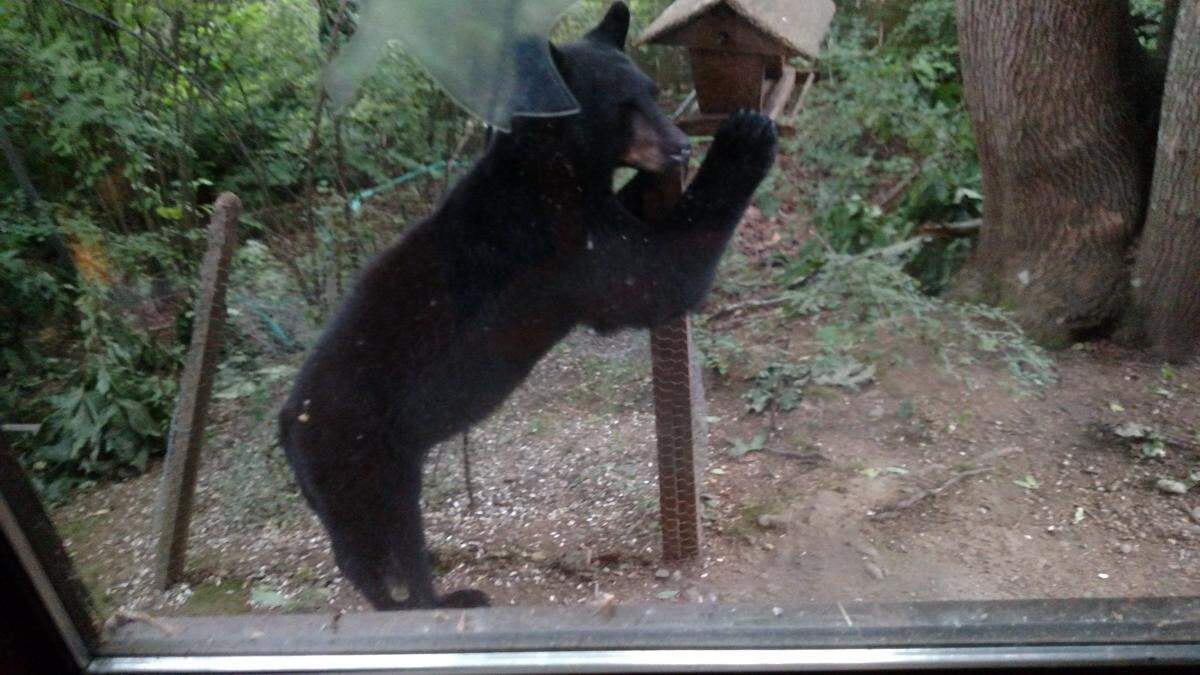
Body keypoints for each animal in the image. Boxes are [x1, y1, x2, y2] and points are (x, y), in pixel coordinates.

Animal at [279, 2, 777, 610]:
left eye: (654, 92)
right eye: (623, 108)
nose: (681, 144)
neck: (552, 165)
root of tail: (288, 425)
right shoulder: (558, 239)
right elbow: (654, 278)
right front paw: (745, 137)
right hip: (363, 460)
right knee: (383, 545)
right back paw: (440, 599)